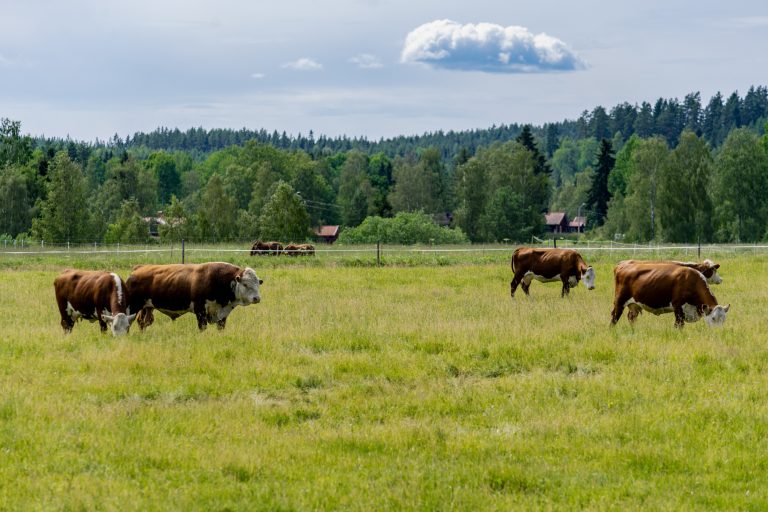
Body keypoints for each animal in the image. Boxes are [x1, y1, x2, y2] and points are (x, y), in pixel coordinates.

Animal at [127, 262, 264, 330]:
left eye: (258, 283)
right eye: (245, 284)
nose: (257, 298)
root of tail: (138, 269)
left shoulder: (222, 314)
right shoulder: (200, 311)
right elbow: (202, 327)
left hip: (147, 308)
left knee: (143, 322)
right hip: (132, 306)